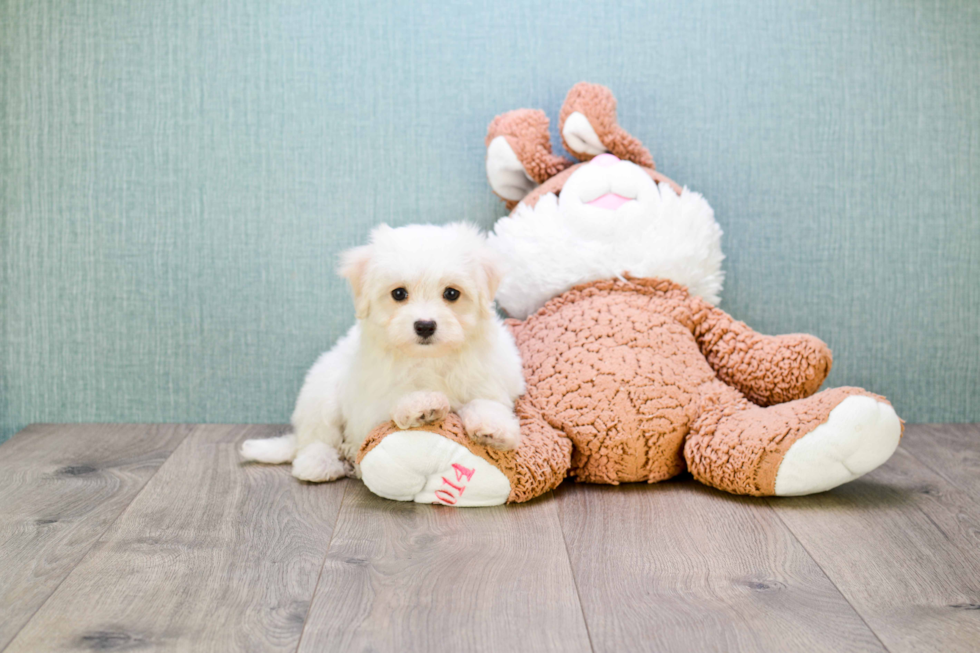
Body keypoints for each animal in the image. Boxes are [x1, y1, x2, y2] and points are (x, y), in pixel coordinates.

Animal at [240, 222, 524, 482]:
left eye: (452, 293)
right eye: (398, 293)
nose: (425, 325)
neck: (429, 359)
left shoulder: (488, 378)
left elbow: (486, 401)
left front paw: (493, 428)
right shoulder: (369, 405)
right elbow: (394, 401)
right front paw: (422, 404)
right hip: (320, 396)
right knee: (315, 440)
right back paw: (322, 463)